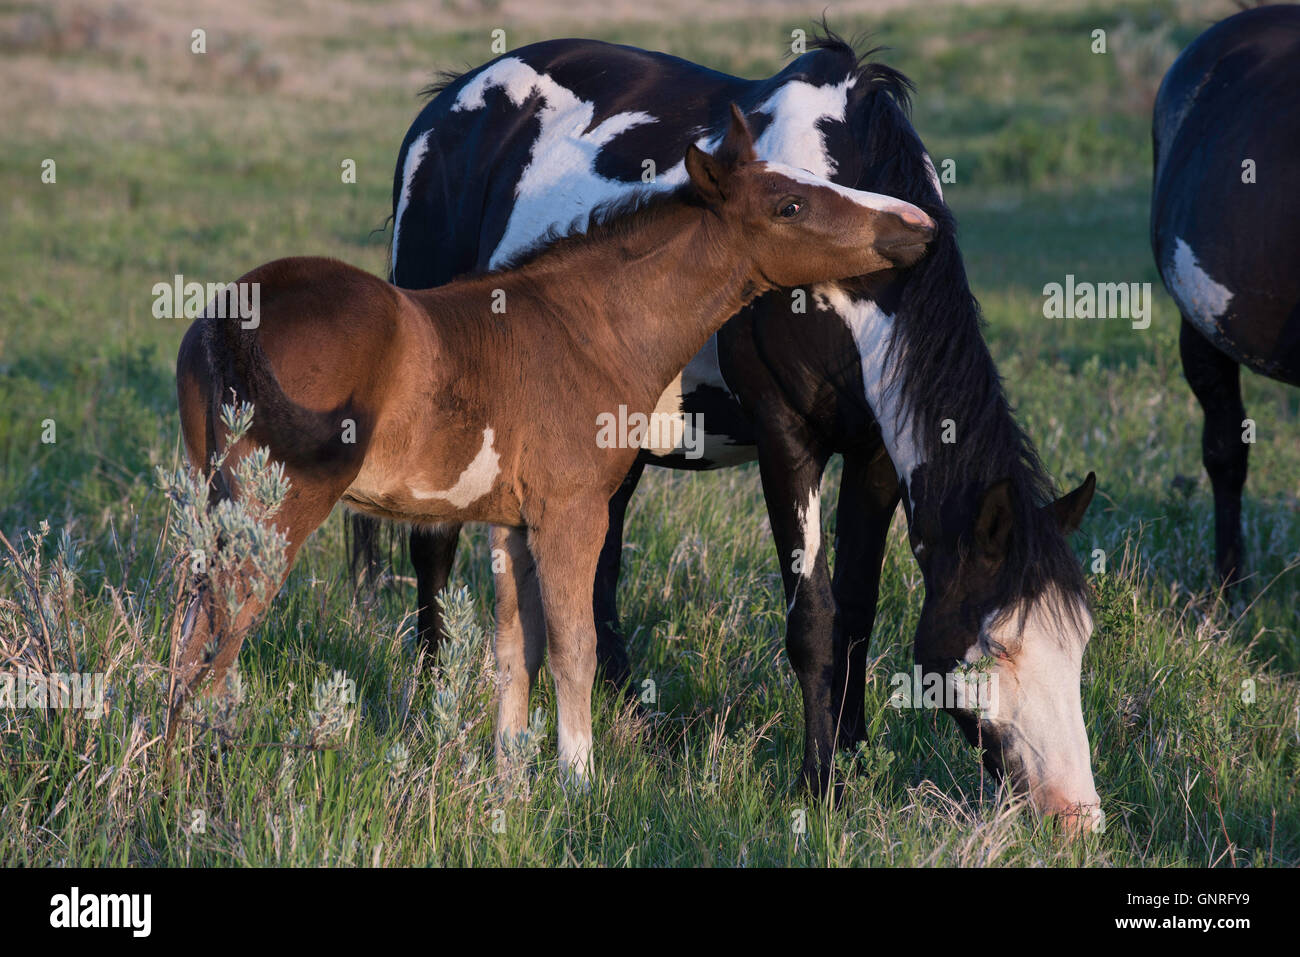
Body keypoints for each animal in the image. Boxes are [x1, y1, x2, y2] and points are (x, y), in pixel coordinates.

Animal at [170, 106, 935, 780]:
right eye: (790, 207)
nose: (918, 226)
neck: (586, 329)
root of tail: (235, 309)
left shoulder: (512, 523)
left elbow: (517, 651)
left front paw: (510, 781)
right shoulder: (573, 512)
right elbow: (576, 646)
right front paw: (578, 781)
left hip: (214, 499)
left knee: (188, 624)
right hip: (276, 511)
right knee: (218, 634)